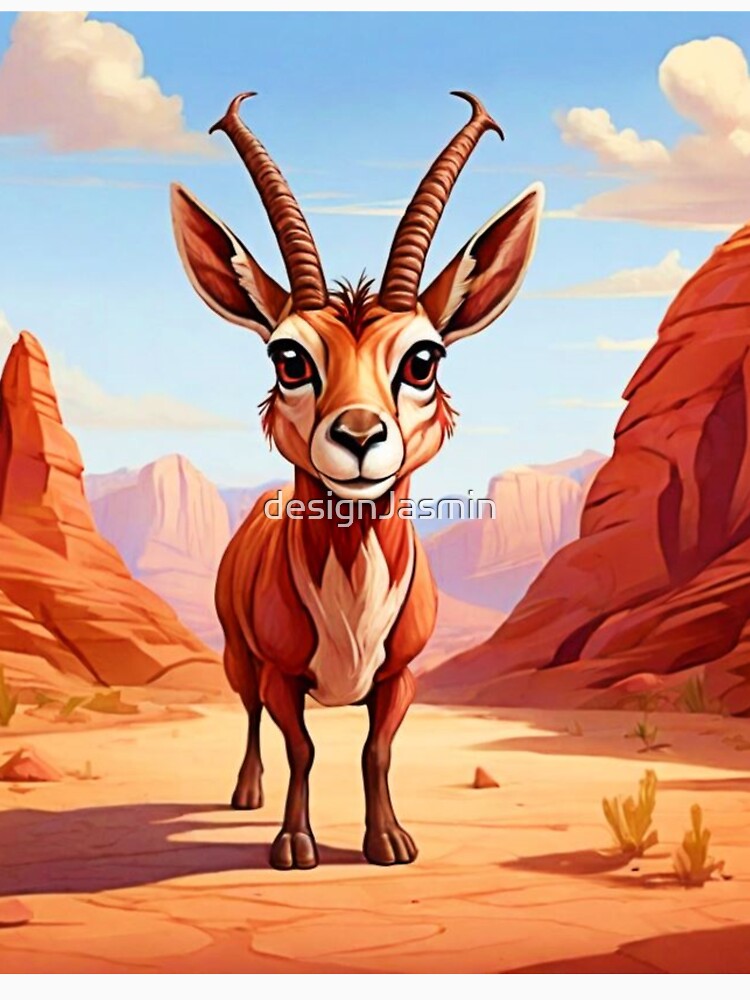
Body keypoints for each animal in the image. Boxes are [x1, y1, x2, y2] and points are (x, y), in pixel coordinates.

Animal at [171, 91, 543, 870]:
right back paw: (244, 795)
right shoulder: (282, 674)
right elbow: (303, 749)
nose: (361, 437)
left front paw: (389, 840)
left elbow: (376, 751)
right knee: (248, 715)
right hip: (237, 655)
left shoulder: (399, 678)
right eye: (289, 357)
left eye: (423, 359)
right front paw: (293, 843)